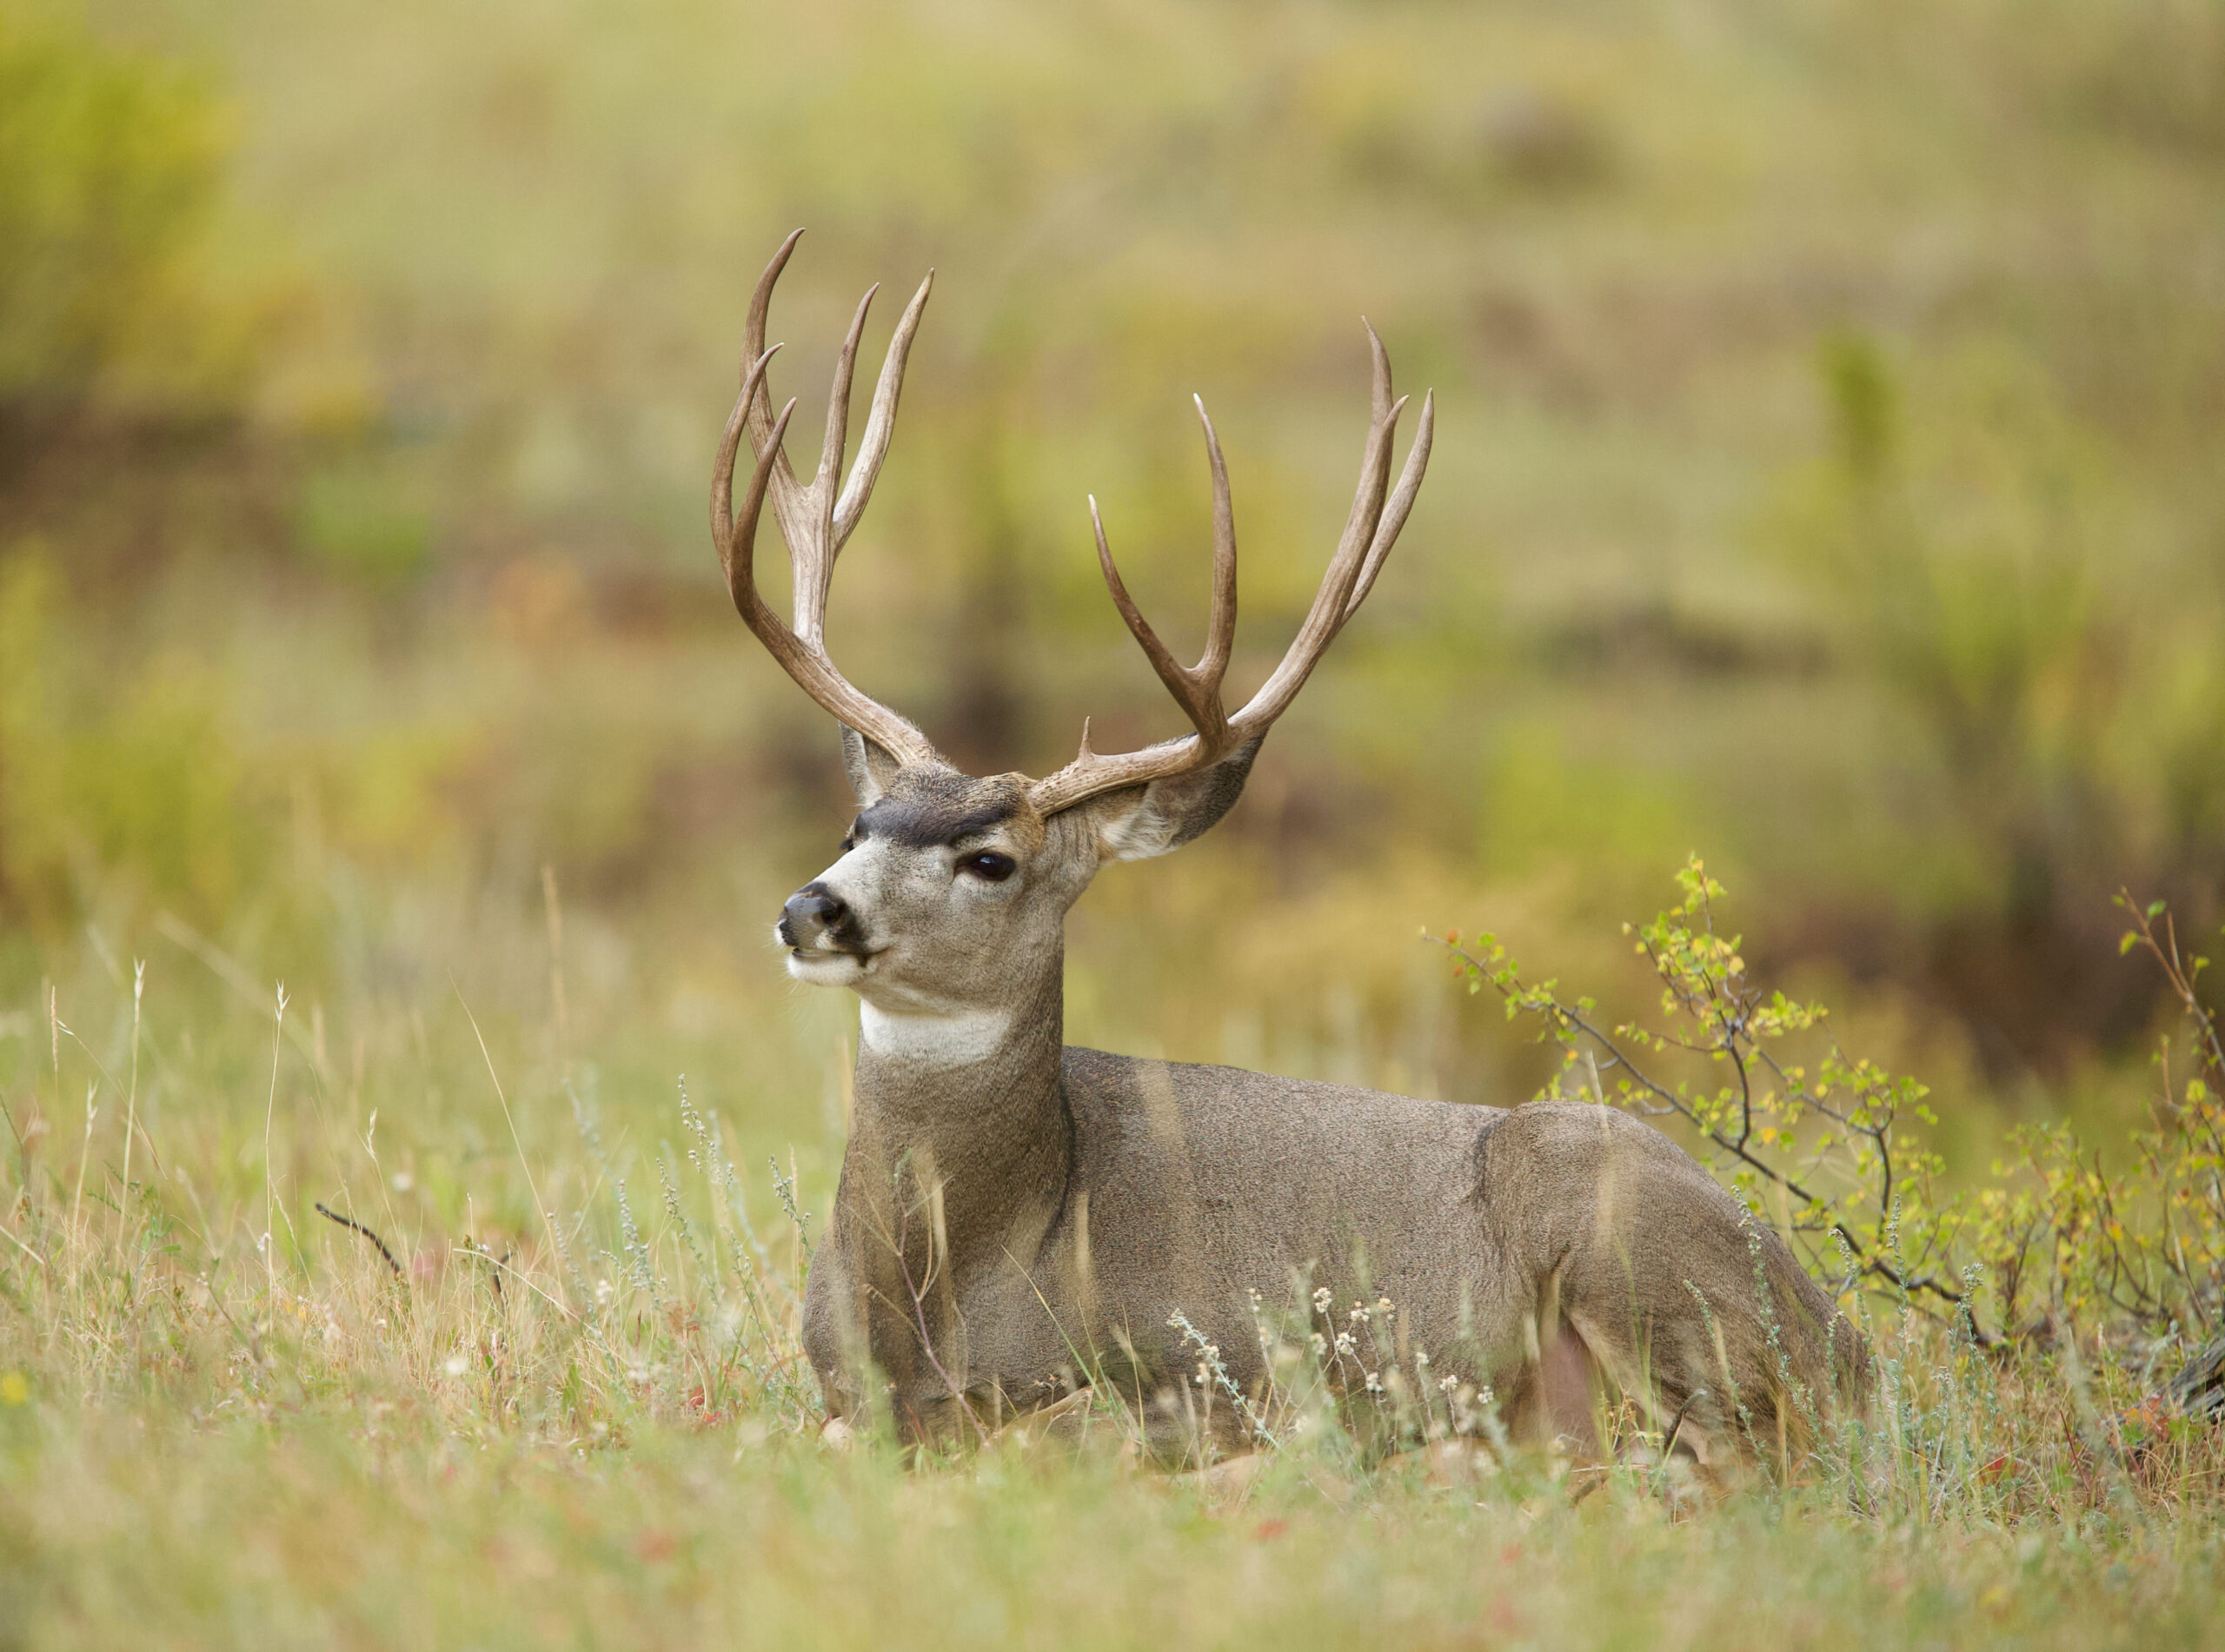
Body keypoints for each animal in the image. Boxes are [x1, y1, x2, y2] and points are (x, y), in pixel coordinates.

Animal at [707, 229, 1860, 1476]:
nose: (812, 909)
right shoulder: (834, 1389)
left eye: (991, 859)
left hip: (1623, 1238)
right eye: (857, 826)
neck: (951, 1285)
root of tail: (1857, 1346)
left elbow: (1069, 1431)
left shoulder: (1190, 1369)